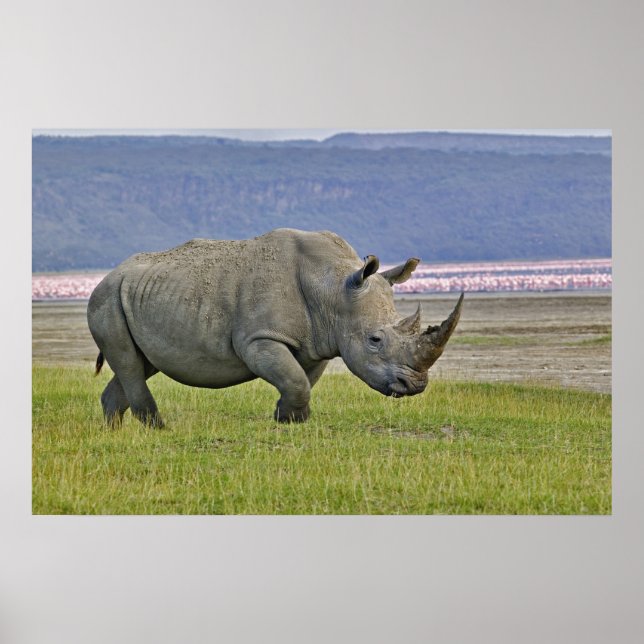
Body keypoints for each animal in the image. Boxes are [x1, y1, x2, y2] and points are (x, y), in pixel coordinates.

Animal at [87, 228, 463, 427]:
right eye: (375, 339)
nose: (415, 385)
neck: (334, 288)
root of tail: (109, 275)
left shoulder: (318, 343)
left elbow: (301, 380)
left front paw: (288, 420)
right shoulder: (260, 338)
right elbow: (295, 380)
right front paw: (290, 419)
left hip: (138, 296)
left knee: (141, 364)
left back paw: (114, 431)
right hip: (105, 298)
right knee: (130, 363)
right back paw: (160, 430)